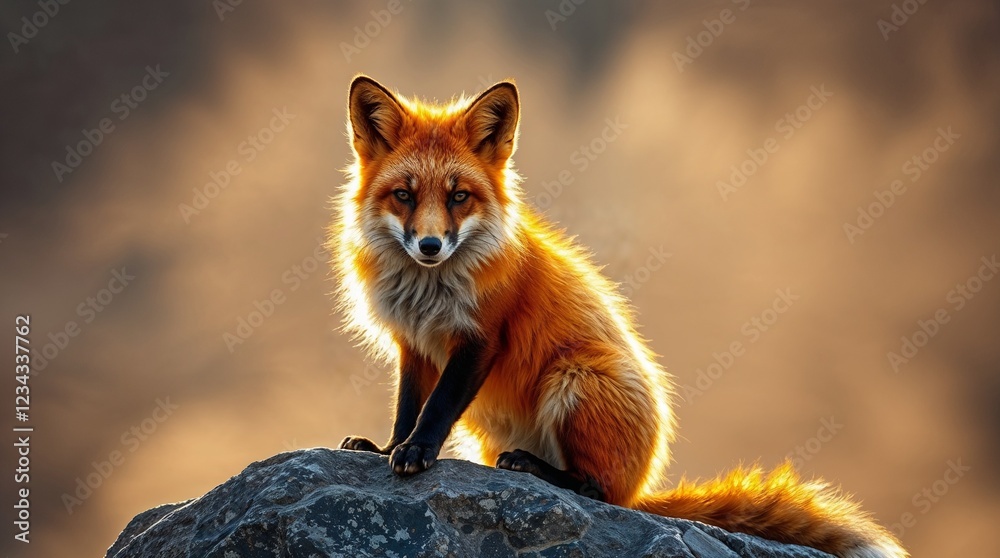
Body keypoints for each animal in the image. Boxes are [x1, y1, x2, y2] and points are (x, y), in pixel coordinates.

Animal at [329, 75, 907, 558]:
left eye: (459, 197)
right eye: (404, 195)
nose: (429, 246)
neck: (429, 290)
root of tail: (643, 487)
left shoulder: (480, 339)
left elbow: (437, 409)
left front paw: (417, 452)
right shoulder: (414, 343)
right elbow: (407, 407)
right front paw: (387, 447)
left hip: (578, 377)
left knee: (596, 490)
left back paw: (536, 468)